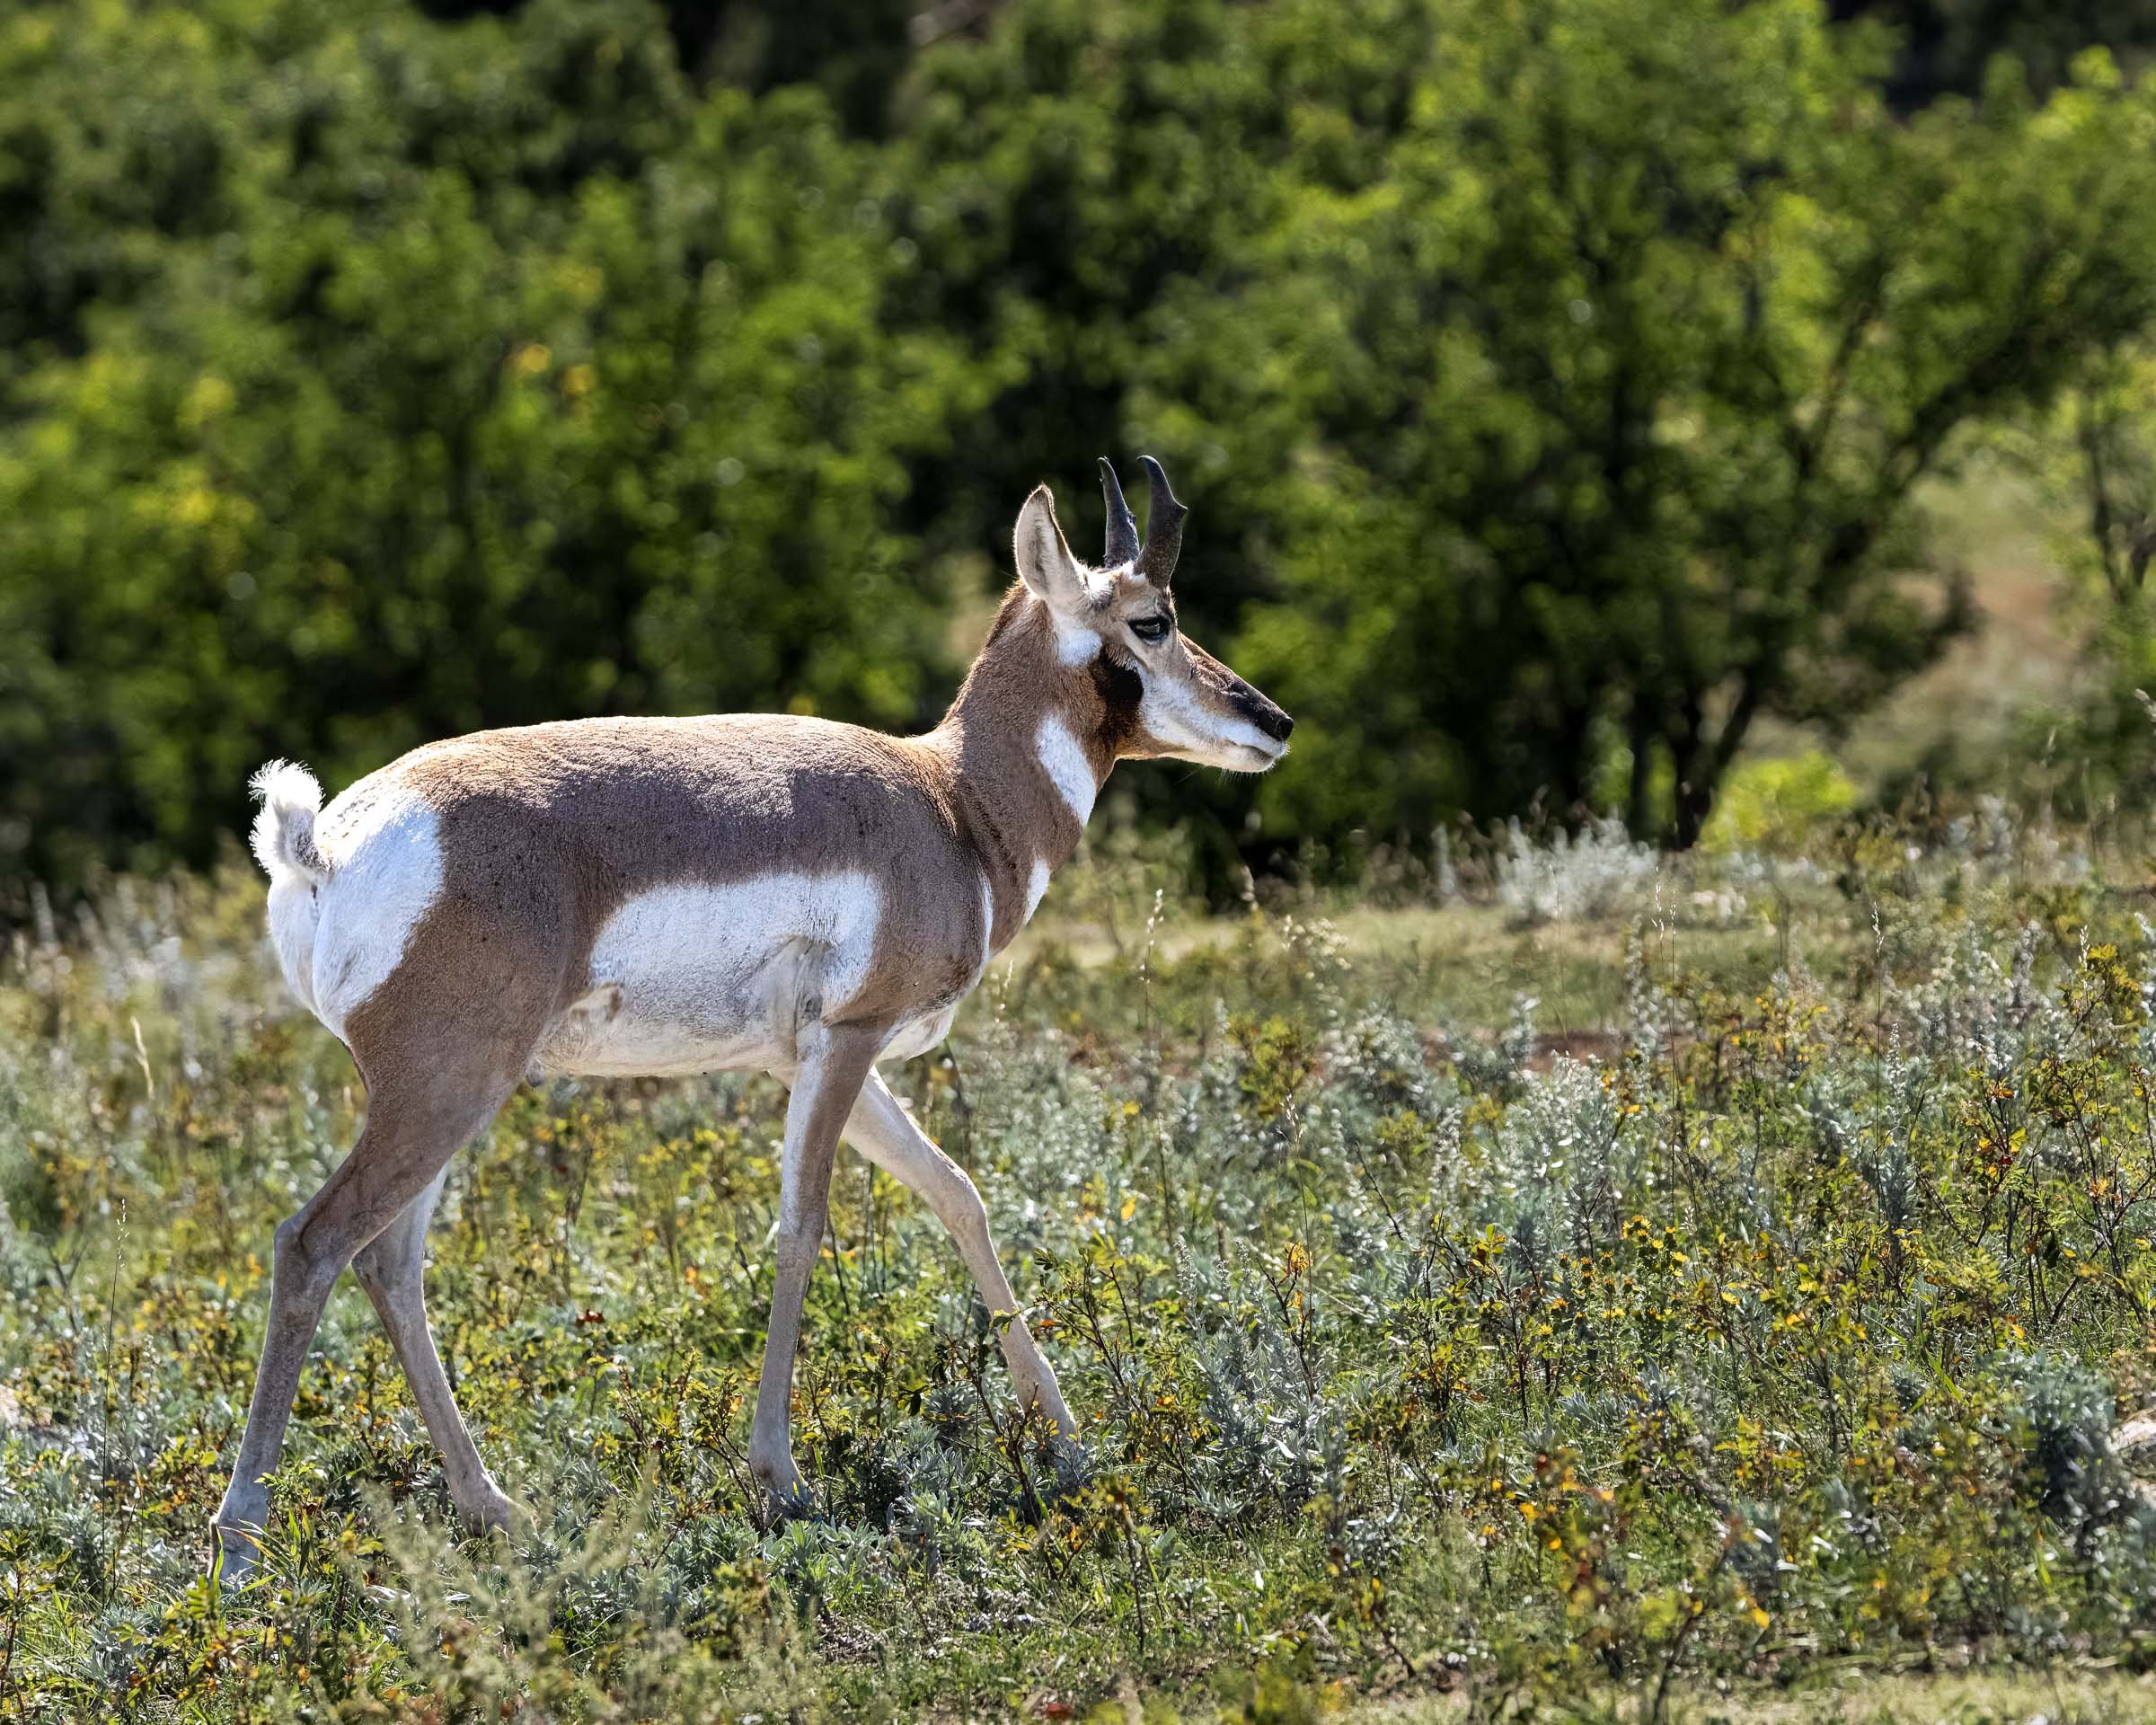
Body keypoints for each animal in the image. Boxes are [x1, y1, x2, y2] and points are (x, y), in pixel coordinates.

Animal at [214, 457, 1293, 1577]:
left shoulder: (812, 1060)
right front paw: (781, 1476)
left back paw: (495, 1507)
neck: (947, 801)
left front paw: (1073, 1448)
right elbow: (802, 1227)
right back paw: (242, 1541)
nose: (1275, 722)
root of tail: (327, 841)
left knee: (389, 1262)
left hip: (449, 1098)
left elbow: (959, 1196)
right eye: (1153, 619)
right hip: (444, 1091)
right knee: (313, 1243)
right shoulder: (849, 1044)